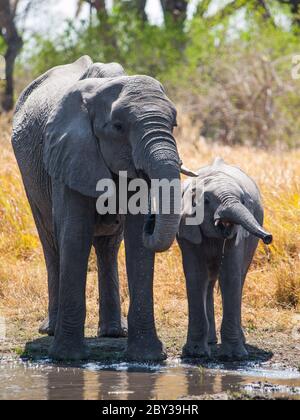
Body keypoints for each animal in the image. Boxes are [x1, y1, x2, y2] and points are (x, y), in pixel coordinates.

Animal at [12, 55, 183, 362]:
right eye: (118, 127)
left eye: (174, 124)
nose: (154, 219)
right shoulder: (69, 152)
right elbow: (75, 233)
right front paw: (67, 357)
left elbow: (137, 243)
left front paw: (147, 357)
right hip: (30, 176)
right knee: (51, 242)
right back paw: (51, 330)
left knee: (108, 247)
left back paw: (113, 333)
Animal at [177, 158, 274, 360]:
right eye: (206, 201)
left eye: (243, 201)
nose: (268, 237)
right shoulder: (186, 228)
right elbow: (196, 276)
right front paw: (195, 353)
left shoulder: (238, 235)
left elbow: (230, 277)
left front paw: (234, 356)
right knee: (208, 280)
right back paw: (210, 341)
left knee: (239, 278)